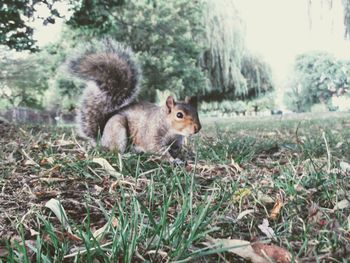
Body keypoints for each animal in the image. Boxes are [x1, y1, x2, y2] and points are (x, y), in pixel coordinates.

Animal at [67, 39, 201, 161]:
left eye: (196, 112)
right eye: (179, 115)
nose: (198, 128)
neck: (171, 129)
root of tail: (102, 139)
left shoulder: (176, 142)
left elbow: (175, 150)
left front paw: (183, 157)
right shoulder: (151, 135)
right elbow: (157, 150)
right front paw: (173, 160)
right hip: (117, 129)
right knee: (115, 151)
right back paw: (127, 154)